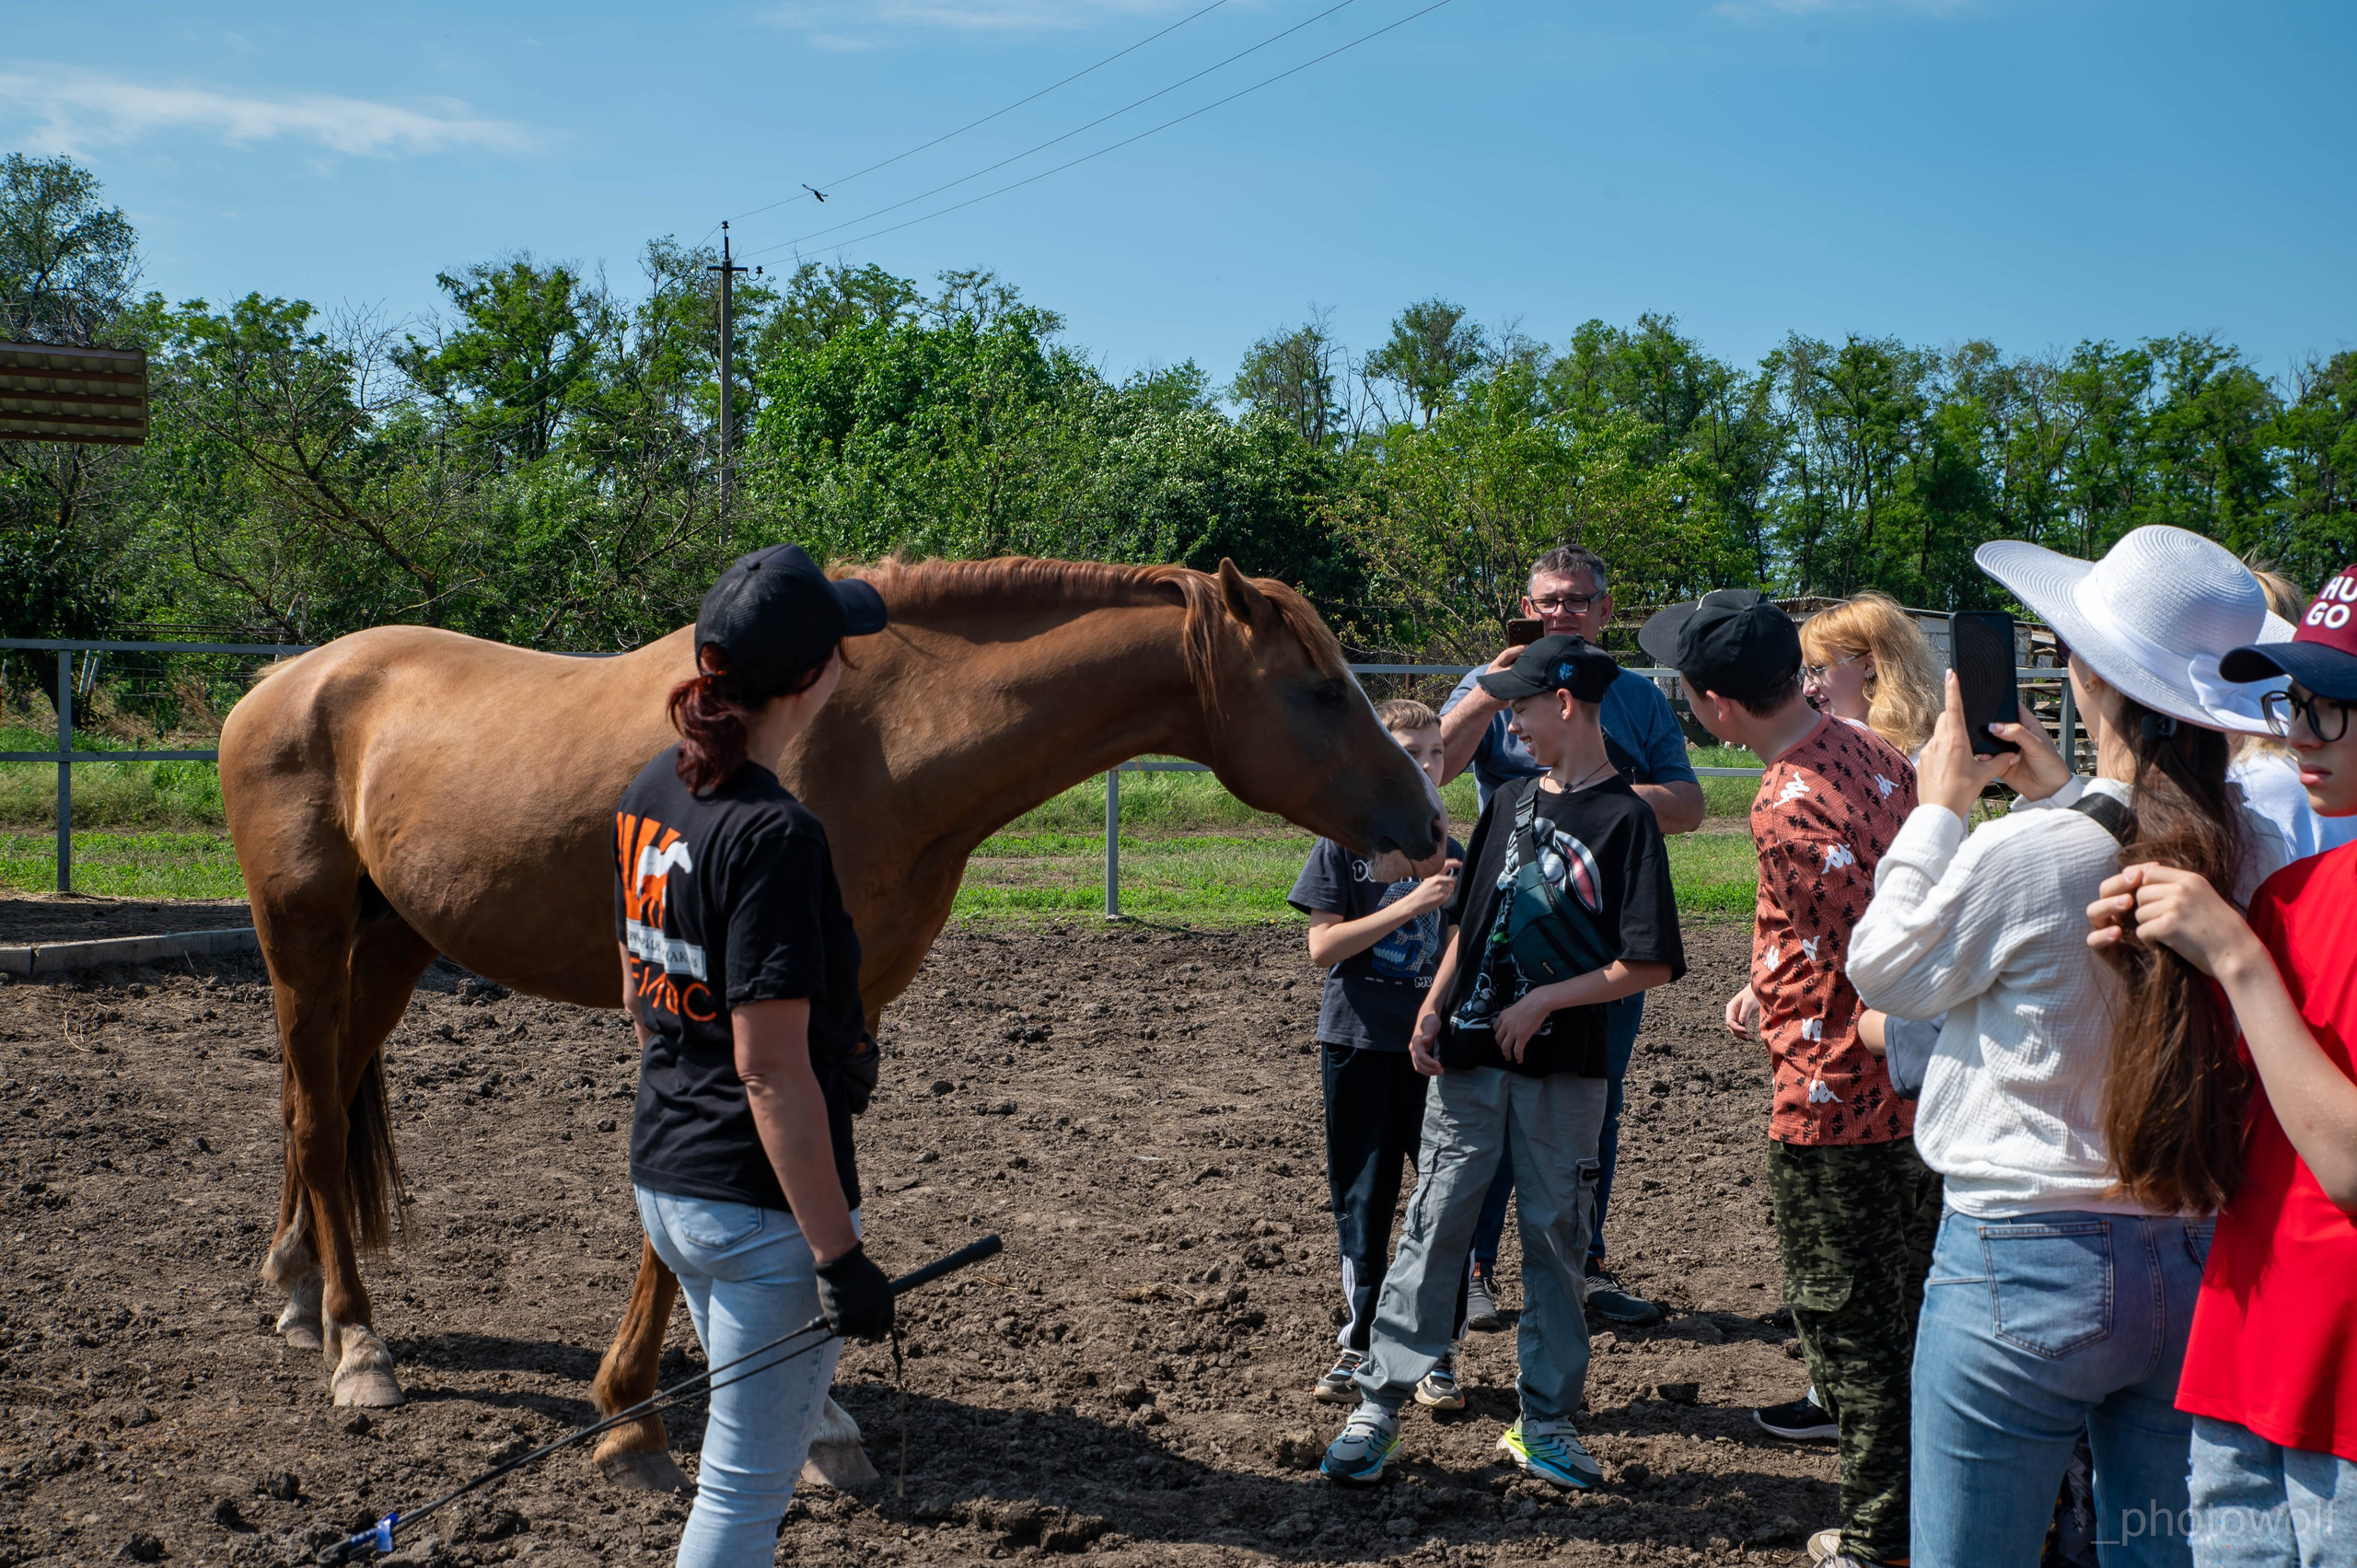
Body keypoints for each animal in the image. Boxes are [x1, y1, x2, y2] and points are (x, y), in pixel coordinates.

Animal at [217, 556, 1443, 1480]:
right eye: (1321, 690)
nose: (1428, 818)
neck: (886, 738)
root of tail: (287, 679)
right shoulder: (751, 1008)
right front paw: (632, 1413)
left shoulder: (850, 1009)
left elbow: (811, 1187)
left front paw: (816, 1416)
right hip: (302, 940)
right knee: (317, 1119)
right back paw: (357, 1346)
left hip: (392, 942)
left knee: (313, 1101)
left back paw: (295, 1289)